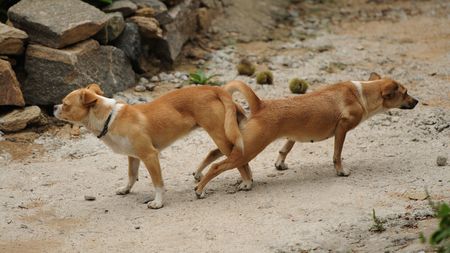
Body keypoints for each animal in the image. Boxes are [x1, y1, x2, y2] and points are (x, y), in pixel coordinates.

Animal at [54, 84, 251, 209]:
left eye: (66, 104)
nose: (53, 107)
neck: (109, 118)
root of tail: (213, 88)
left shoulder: (150, 156)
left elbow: (157, 183)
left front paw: (158, 202)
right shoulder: (133, 157)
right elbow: (131, 176)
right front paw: (126, 190)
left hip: (220, 136)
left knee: (239, 160)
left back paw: (247, 182)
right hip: (221, 136)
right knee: (222, 155)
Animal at [195, 72, 420, 197]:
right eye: (405, 93)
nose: (417, 101)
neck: (362, 93)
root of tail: (260, 104)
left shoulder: (292, 135)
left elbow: (285, 148)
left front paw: (280, 163)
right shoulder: (342, 129)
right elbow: (337, 155)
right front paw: (341, 171)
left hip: (241, 142)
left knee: (214, 152)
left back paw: (199, 174)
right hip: (250, 148)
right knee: (218, 166)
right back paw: (200, 189)